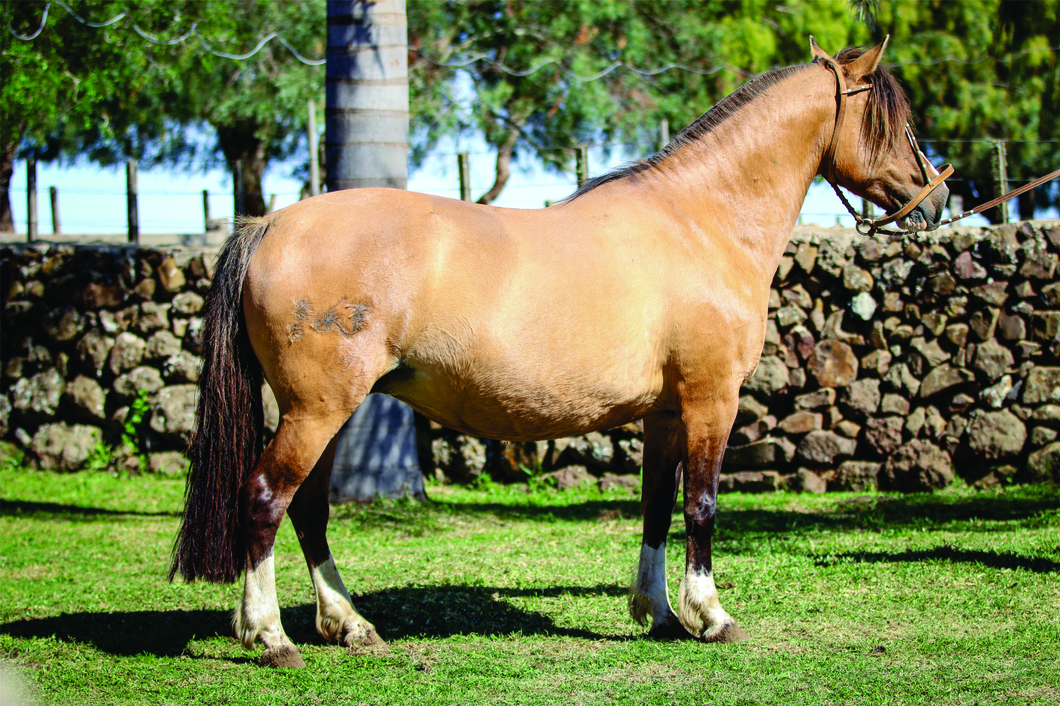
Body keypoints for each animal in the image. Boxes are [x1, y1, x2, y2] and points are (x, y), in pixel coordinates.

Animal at [167, 38, 953, 665]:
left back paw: (349, 624)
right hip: (316, 408)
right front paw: (710, 616)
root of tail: (268, 224)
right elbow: (700, 505)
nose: (936, 198)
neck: (700, 220)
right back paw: (270, 637)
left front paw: (658, 613)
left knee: (307, 509)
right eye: (894, 120)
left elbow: (656, 506)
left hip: (328, 411)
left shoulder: (666, 412)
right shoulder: (710, 400)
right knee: (265, 499)